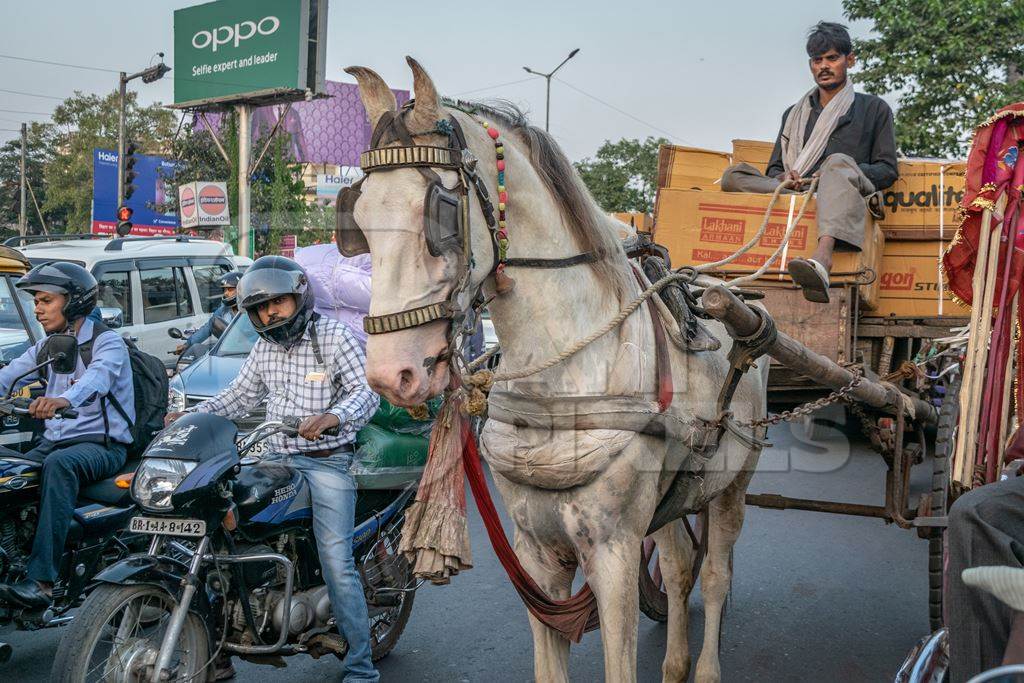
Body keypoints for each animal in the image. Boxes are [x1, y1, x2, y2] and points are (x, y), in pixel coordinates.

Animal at [346, 58, 770, 683]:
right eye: (359, 218)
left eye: (440, 214)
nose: (389, 375)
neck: (565, 374)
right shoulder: (535, 551)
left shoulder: (614, 552)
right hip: (675, 495)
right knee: (677, 566)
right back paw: (674, 662)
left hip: (733, 483)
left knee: (716, 575)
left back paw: (706, 666)